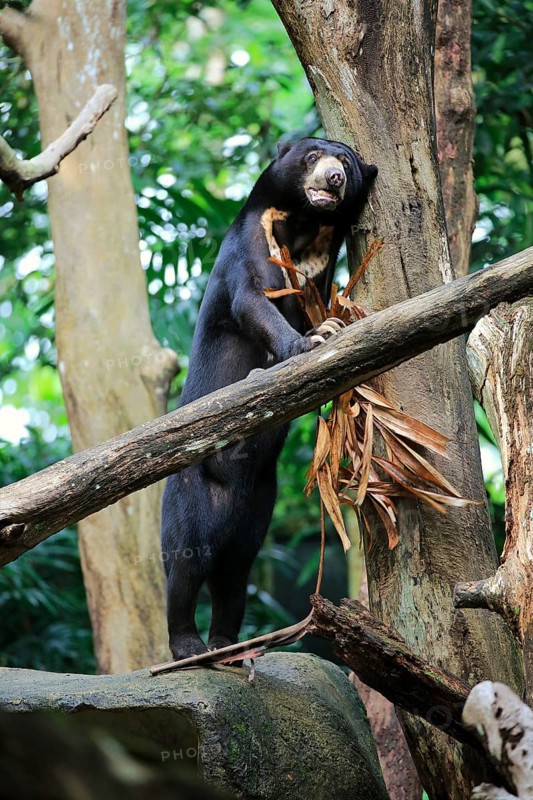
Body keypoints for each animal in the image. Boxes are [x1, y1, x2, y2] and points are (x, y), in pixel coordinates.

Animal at [161, 137, 377, 660]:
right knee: (187, 562)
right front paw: (310, 343)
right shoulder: (252, 243)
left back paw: (229, 645)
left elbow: (312, 301)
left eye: (347, 164)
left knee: (233, 575)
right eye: (312, 157)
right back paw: (189, 646)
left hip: (259, 508)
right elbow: (253, 300)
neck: (304, 226)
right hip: (190, 490)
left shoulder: (317, 264)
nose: (333, 178)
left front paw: (331, 324)